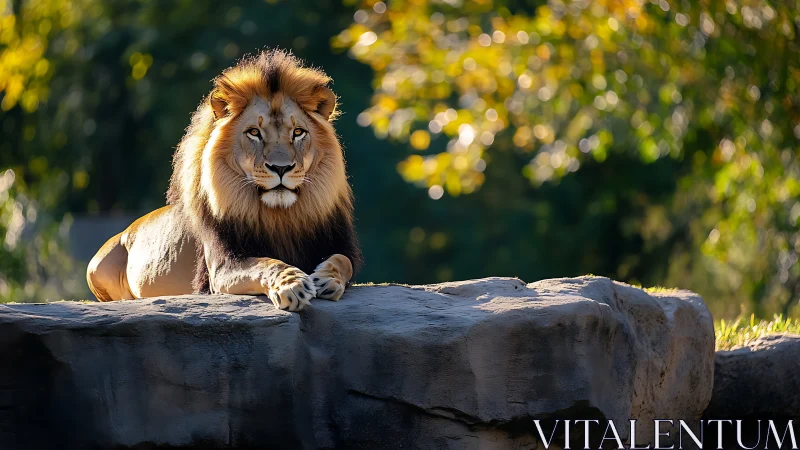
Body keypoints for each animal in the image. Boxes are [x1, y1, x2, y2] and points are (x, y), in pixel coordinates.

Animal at [86, 49, 362, 311]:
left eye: (298, 132)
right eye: (254, 133)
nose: (281, 167)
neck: (280, 216)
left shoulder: (339, 244)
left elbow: (343, 261)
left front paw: (326, 278)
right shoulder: (222, 267)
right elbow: (266, 263)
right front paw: (292, 284)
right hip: (97, 266)